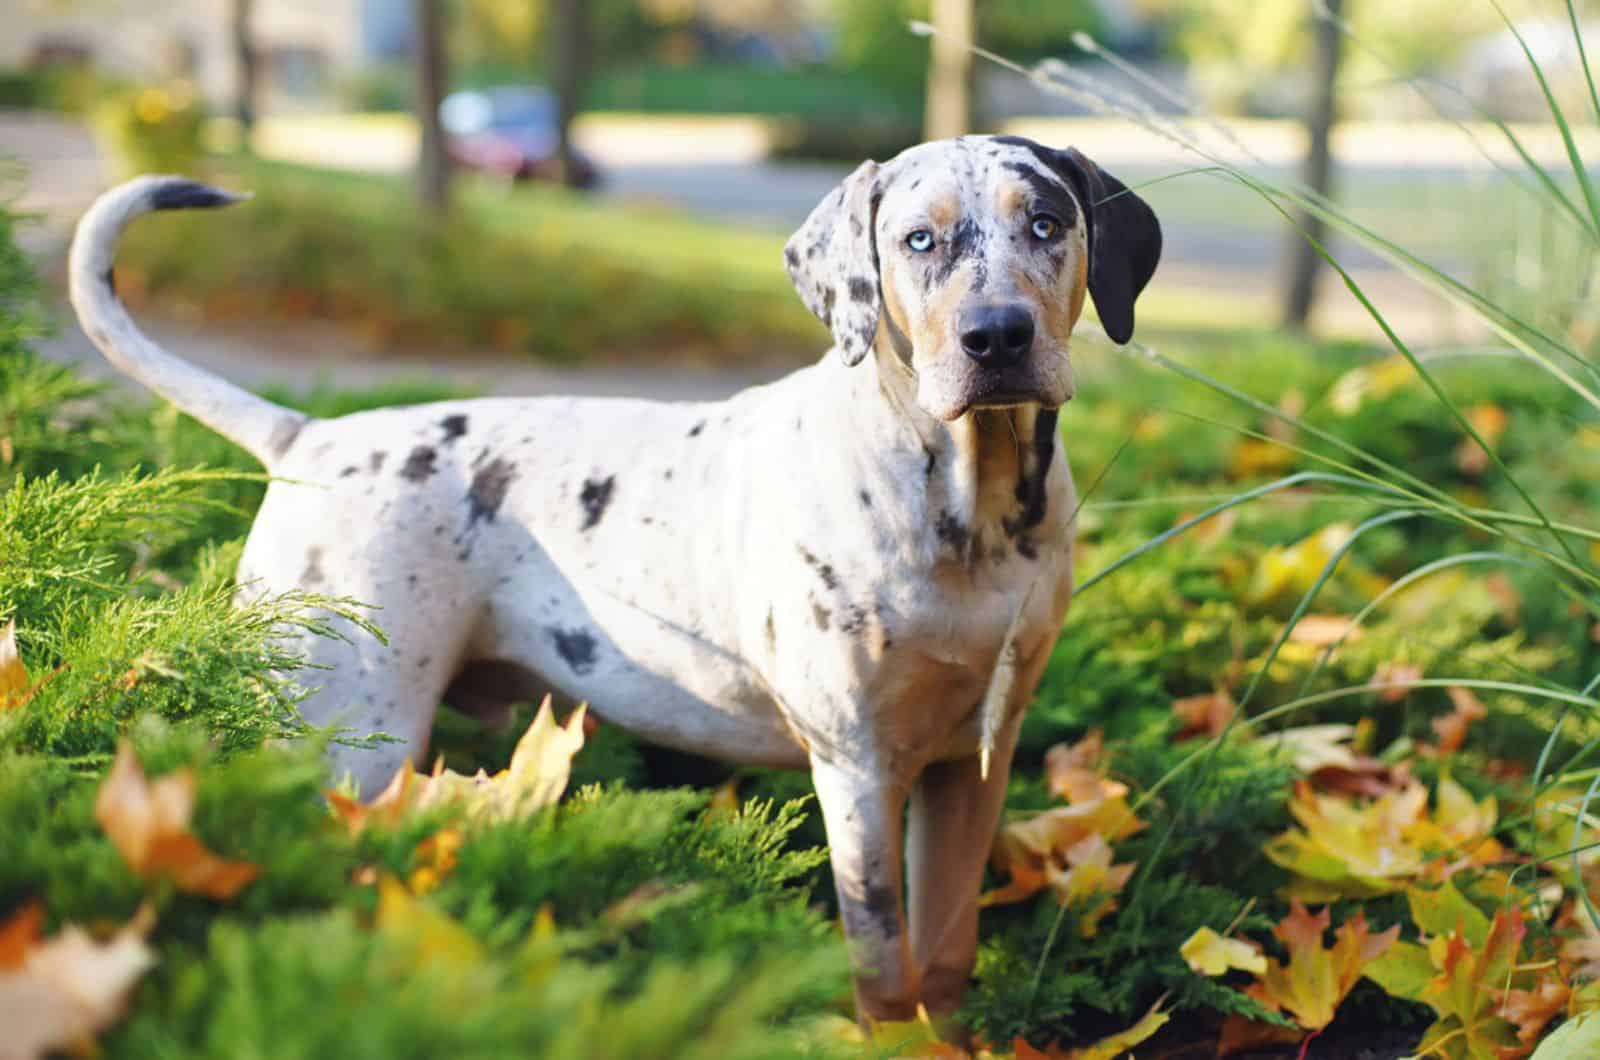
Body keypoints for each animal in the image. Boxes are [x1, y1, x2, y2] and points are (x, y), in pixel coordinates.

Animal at [68, 135, 1158, 1024]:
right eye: (919, 241)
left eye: (1047, 222)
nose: (997, 335)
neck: (973, 509)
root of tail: (309, 438)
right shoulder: (857, 768)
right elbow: (884, 970)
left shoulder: (971, 760)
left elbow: (945, 957)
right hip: (344, 732)